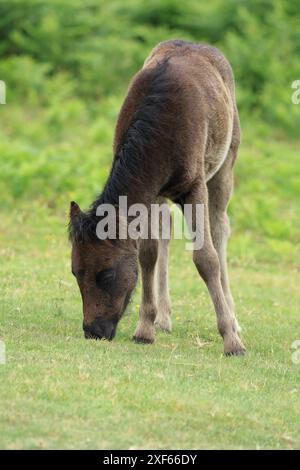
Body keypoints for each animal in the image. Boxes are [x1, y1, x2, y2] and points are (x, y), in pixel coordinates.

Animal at [69, 40, 246, 356]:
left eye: (107, 274)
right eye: (75, 272)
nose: (93, 331)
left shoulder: (195, 186)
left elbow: (206, 258)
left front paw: (231, 341)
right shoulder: (149, 193)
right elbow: (147, 253)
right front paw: (145, 328)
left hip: (225, 165)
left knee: (219, 229)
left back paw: (235, 321)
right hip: (163, 196)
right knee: (165, 232)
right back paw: (163, 317)